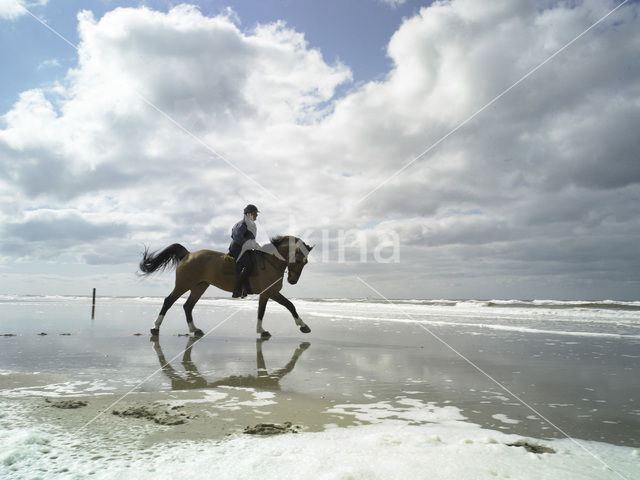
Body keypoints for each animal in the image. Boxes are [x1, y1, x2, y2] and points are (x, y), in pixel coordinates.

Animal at [139, 233, 314, 338]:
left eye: (306, 262)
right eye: (298, 260)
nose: (293, 281)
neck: (271, 262)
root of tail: (188, 254)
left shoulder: (265, 294)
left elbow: (261, 312)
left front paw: (261, 331)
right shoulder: (271, 292)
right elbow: (290, 305)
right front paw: (303, 326)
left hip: (199, 286)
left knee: (188, 306)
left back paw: (195, 330)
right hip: (184, 284)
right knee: (168, 301)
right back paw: (155, 327)